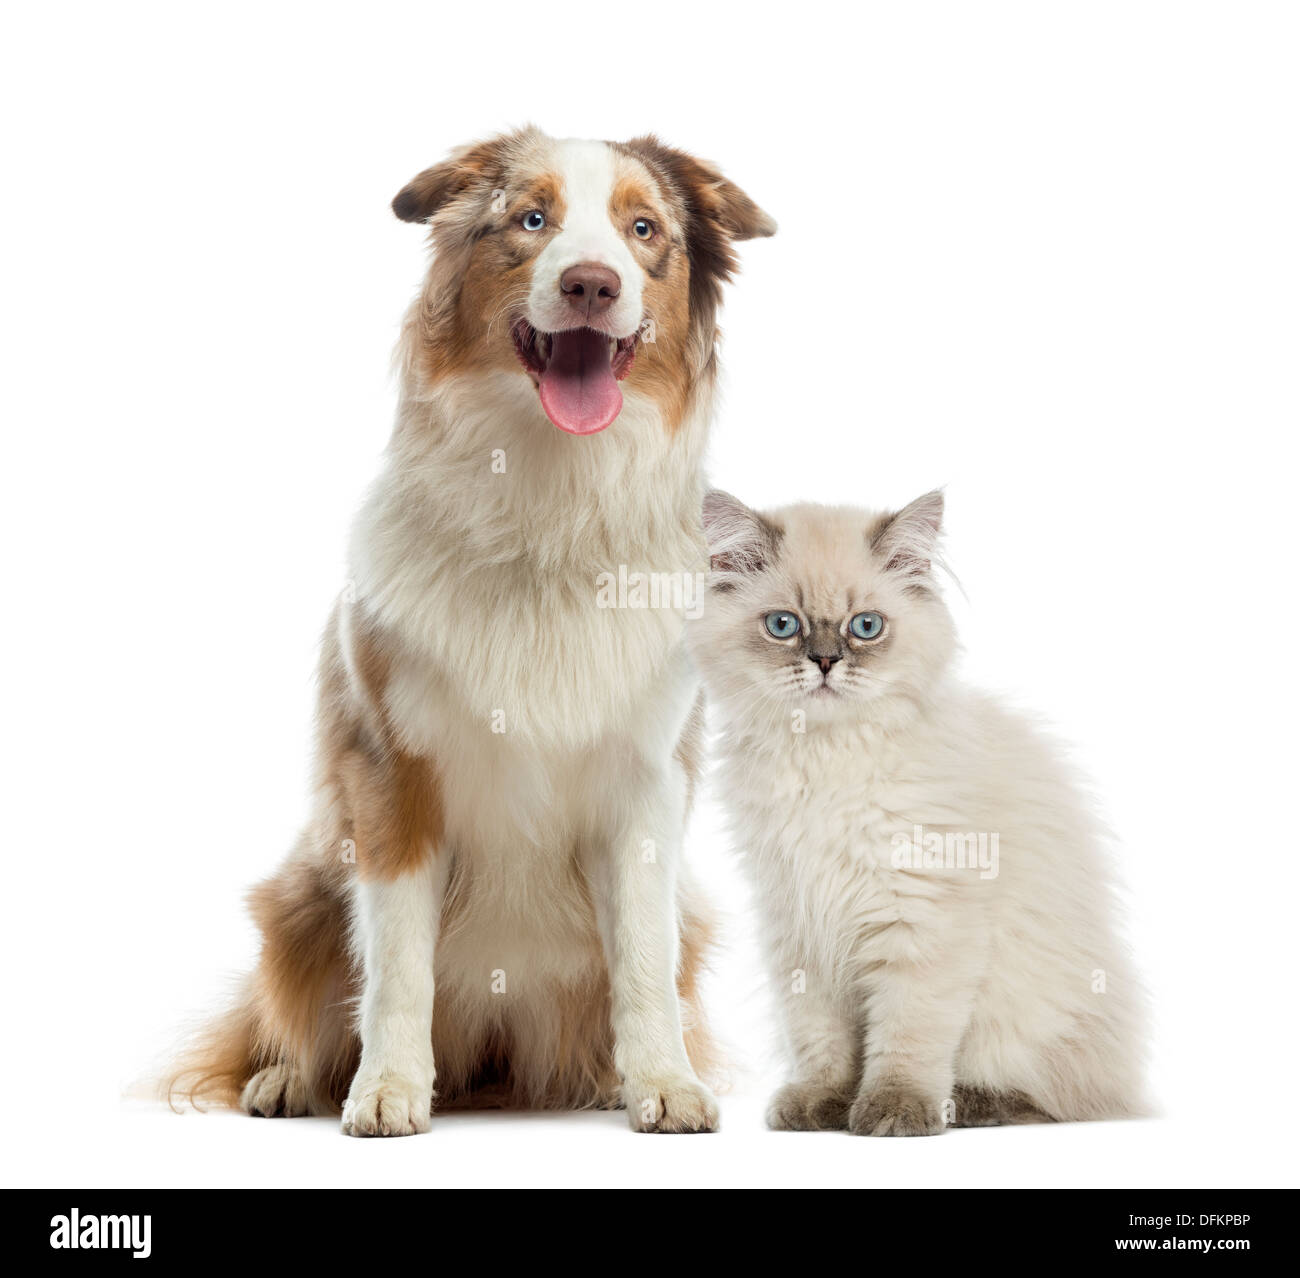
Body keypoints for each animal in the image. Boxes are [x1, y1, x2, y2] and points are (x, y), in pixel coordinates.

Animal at [163, 124, 769, 1133]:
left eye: (642, 229)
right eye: (530, 220)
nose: (592, 284)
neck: (549, 503)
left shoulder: (647, 782)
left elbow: (643, 962)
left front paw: (663, 1084)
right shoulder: (390, 772)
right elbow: (396, 966)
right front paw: (387, 1089)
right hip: (300, 893)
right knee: (281, 1011)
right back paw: (287, 1081)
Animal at [686, 491, 1144, 1138]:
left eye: (866, 627)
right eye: (783, 626)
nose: (825, 661)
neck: (827, 761)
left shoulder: (923, 920)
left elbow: (908, 1036)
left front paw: (893, 1112)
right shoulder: (801, 921)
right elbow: (820, 1040)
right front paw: (822, 1104)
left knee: (1051, 1096)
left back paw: (966, 1104)